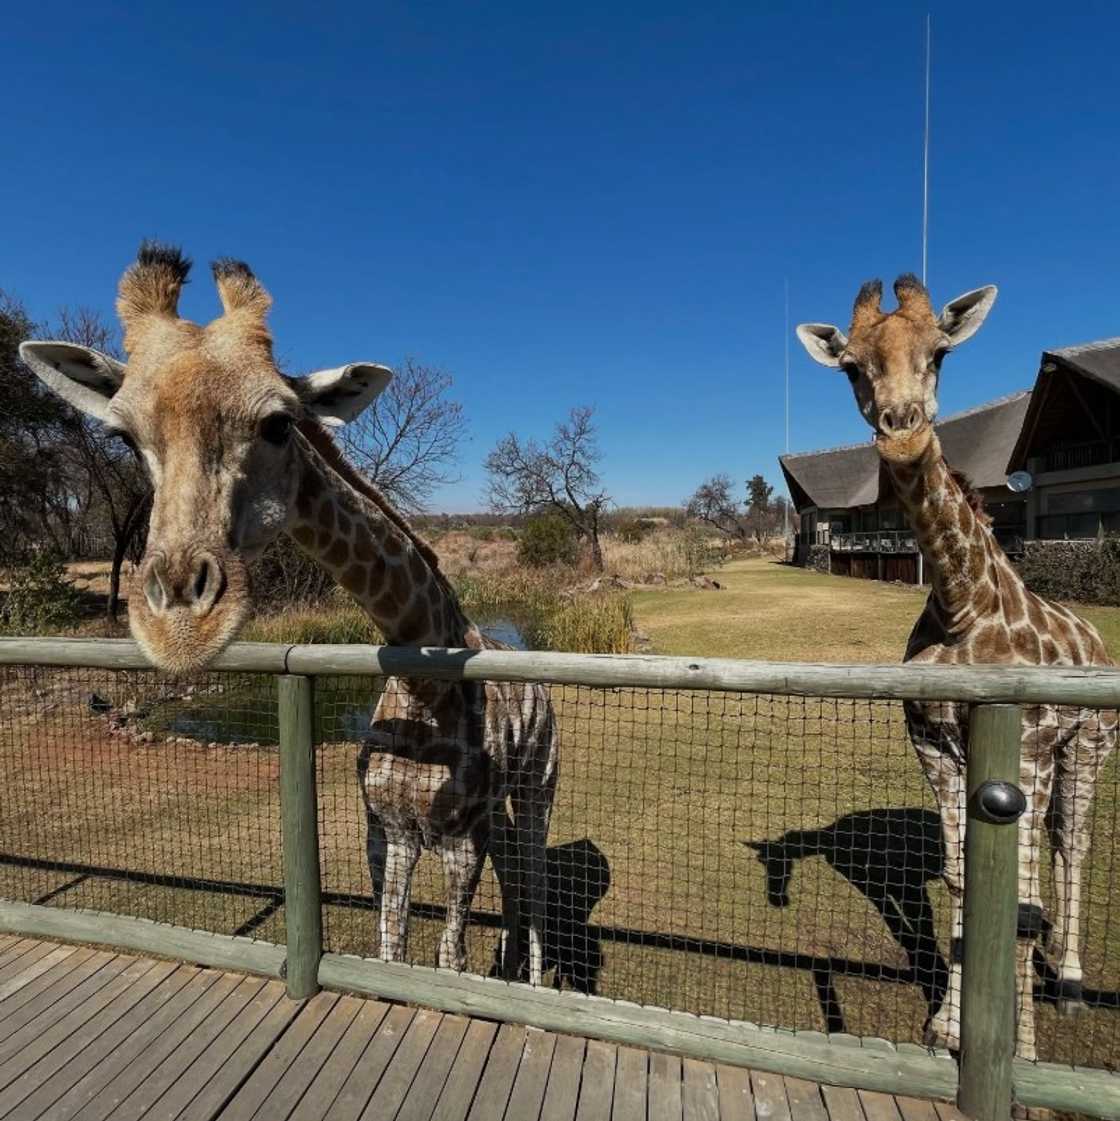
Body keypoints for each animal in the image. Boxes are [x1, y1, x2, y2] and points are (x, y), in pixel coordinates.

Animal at [19, 243, 558, 982]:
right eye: (124, 436)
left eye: (278, 422)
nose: (180, 628)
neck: (425, 687)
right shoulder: (384, 831)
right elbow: (389, 945)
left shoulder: (456, 840)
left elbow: (448, 954)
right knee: (515, 873)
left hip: (537, 784)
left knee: (534, 874)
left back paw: (533, 975)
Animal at [796, 275, 1116, 1059]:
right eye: (851, 366)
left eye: (940, 352)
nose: (903, 426)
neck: (961, 602)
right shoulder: (936, 747)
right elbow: (961, 877)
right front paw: (947, 1024)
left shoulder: (1026, 745)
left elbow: (1019, 897)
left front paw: (1020, 1048)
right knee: (1052, 847)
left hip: (1087, 748)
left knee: (1074, 846)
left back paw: (1068, 982)